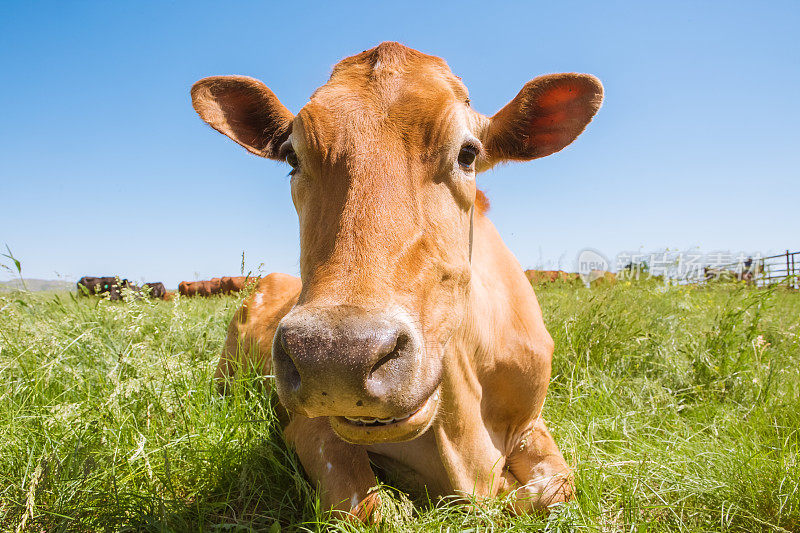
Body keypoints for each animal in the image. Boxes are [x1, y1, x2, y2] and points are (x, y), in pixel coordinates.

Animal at [194, 42, 604, 524]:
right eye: (293, 157)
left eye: (468, 153)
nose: (336, 356)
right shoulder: (309, 427)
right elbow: (368, 507)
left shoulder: (532, 423)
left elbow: (555, 488)